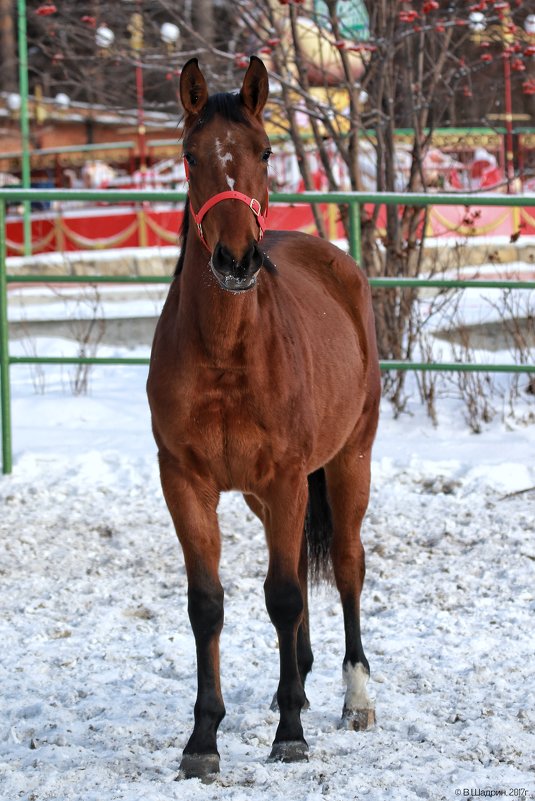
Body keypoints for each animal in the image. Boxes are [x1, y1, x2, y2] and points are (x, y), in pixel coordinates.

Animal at [147, 57, 382, 780]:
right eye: (190, 155)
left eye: (266, 152)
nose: (235, 260)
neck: (226, 351)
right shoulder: (186, 481)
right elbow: (207, 603)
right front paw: (202, 739)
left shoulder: (285, 477)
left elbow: (281, 594)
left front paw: (289, 735)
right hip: (263, 493)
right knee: (303, 577)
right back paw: (297, 684)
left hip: (349, 461)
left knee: (344, 565)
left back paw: (352, 699)